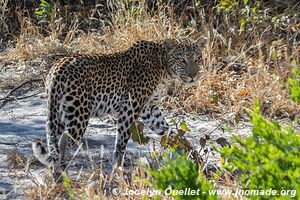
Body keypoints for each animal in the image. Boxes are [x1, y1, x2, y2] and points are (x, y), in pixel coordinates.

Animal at [32, 37, 206, 180]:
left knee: (54, 140)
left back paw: (55, 172)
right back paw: (61, 172)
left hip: (58, 113)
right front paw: (119, 168)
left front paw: (193, 154)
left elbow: (171, 132)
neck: (163, 66)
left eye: (198, 59)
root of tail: (57, 69)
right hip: (78, 113)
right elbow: (121, 142)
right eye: (183, 60)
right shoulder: (130, 107)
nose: (193, 76)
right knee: (64, 139)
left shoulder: (149, 110)